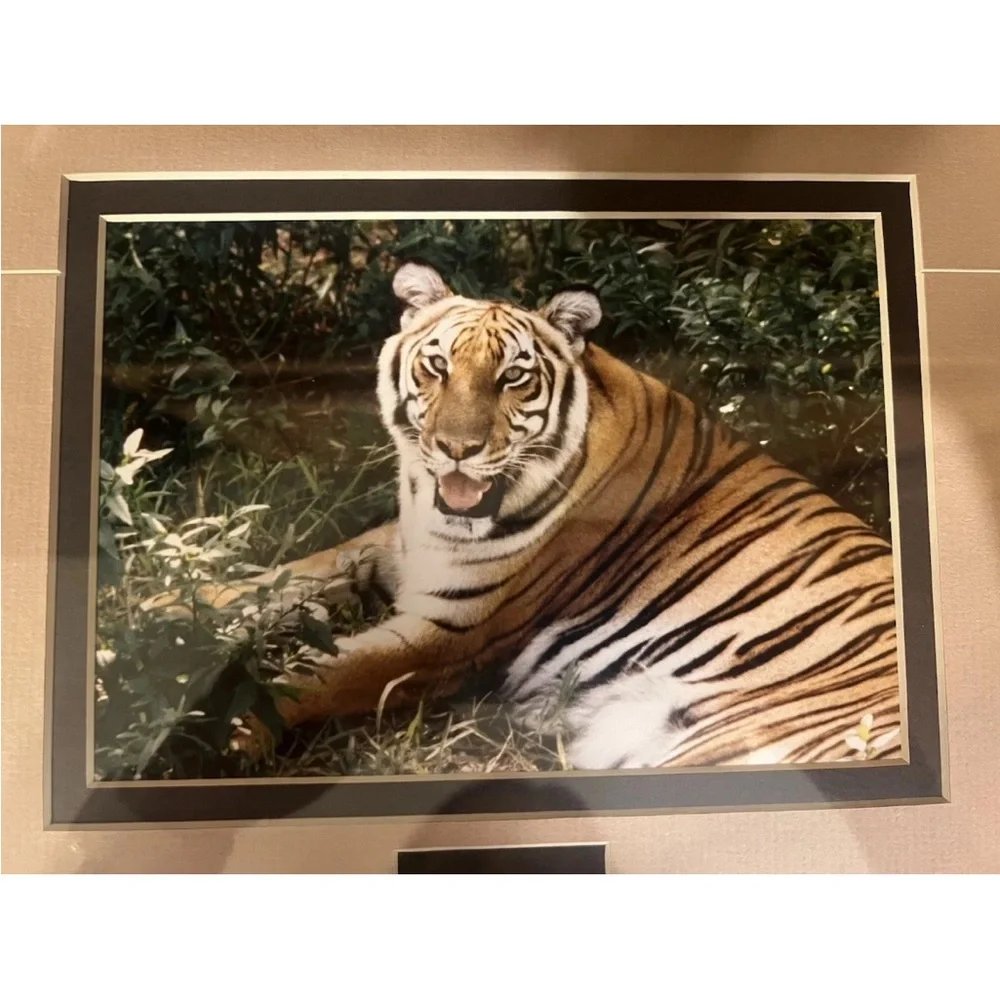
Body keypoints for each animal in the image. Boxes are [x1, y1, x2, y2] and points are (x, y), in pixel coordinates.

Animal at [225, 260, 902, 770]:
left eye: (513, 377)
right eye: (437, 366)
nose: (456, 448)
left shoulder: (448, 634)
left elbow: (319, 672)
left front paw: (232, 731)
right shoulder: (393, 544)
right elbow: (278, 579)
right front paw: (197, 605)